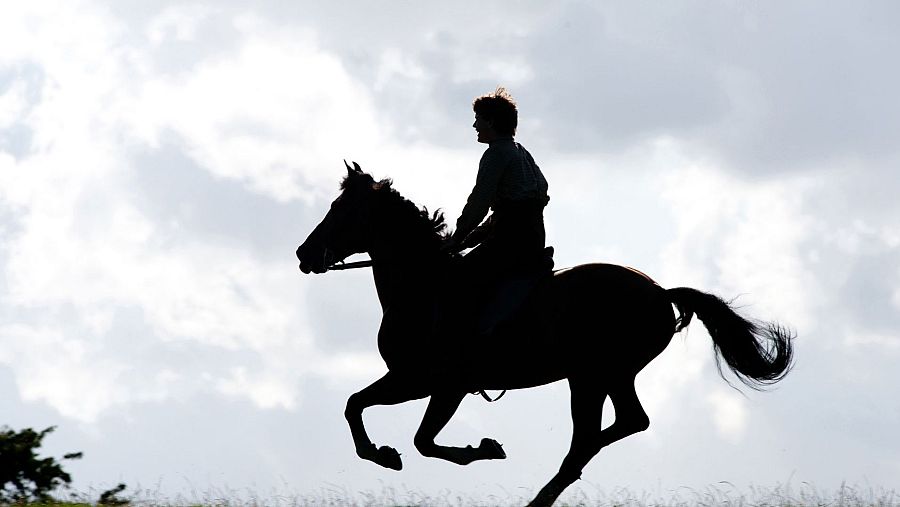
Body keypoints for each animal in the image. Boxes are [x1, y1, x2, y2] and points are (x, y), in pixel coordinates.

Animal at [296, 162, 794, 507]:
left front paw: (477, 450)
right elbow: (358, 407)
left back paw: (540, 496)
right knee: (624, 424)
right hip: (607, 375)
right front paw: (386, 454)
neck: (424, 286)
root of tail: (660, 292)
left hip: (592, 376)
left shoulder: (436, 383)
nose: (303, 254)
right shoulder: (414, 381)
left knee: (591, 436)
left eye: (340, 211)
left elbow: (413, 436)